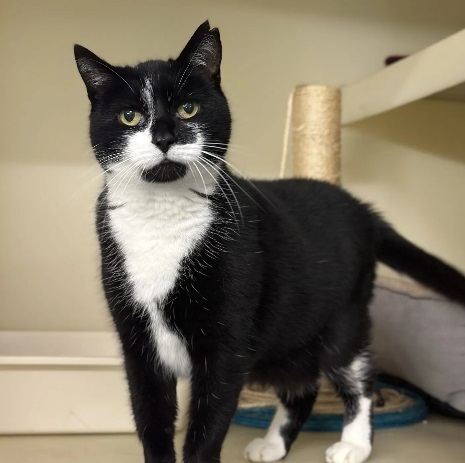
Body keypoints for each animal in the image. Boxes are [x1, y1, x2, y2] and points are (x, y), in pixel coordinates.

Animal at [73, 20, 464, 463]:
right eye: (130, 116)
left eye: (188, 109)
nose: (164, 136)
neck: (162, 214)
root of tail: (362, 209)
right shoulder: (137, 345)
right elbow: (151, 419)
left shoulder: (225, 345)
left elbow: (208, 423)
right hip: (287, 335)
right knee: (301, 386)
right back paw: (274, 443)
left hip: (342, 316)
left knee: (356, 374)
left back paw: (353, 443)